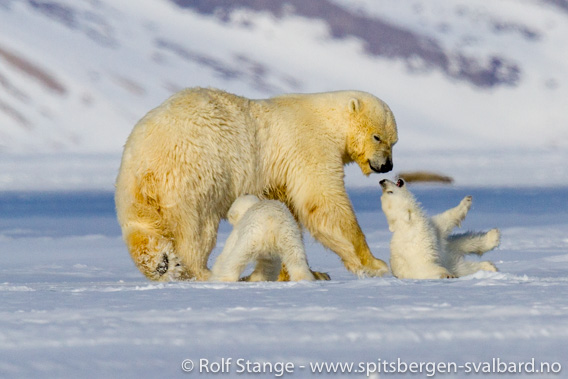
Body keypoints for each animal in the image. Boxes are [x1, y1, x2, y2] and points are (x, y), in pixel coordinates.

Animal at [115, 87, 398, 282]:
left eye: (394, 141)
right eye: (378, 137)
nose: (386, 165)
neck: (326, 120)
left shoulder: (278, 176)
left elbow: (289, 213)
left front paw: (310, 273)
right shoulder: (308, 147)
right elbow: (323, 203)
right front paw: (375, 264)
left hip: (134, 186)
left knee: (141, 227)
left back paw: (162, 264)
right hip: (194, 173)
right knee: (197, 229)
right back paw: (201, 271)